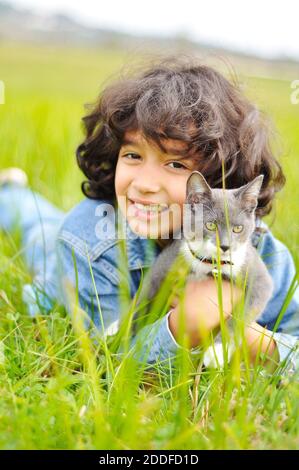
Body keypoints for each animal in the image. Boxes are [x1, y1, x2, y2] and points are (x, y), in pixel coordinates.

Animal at [134, 171, 274, 370]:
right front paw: (121, 338)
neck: (211, 264)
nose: (225, 246)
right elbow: (142, 300)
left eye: (238, 228)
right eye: (211, 225)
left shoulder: (258, 277)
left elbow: (242, 314)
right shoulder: (166, 263)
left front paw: (217, 352)